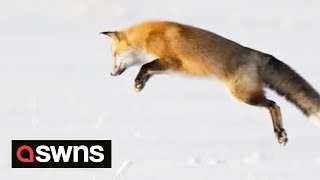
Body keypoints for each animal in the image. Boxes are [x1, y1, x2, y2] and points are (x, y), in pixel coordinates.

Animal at [100, 20, 320, 146]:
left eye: (114, 55)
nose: (111, 74)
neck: (148, 35)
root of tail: (256, 54)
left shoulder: (172, 61)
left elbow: (145, 66)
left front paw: (138, 82)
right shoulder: (166, 66)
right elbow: (148, 70)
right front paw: (140, 84)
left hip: (242, 95)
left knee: (274, 105)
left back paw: (280, 134)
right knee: (274, 105)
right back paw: (280, 134)